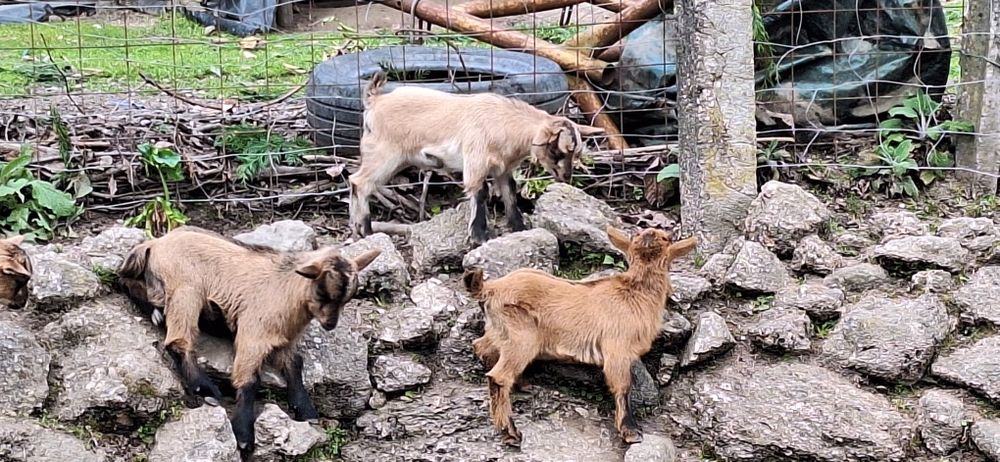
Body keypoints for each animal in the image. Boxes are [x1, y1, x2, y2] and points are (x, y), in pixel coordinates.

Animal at [117, 225, 380, 459]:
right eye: (322, 292)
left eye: (348, 297)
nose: (330, 324)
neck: (286, 290)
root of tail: (154, 244)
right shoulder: (253, 334)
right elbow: (250, 379)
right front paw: (244, 435)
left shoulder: (287, 341)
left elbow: (295, 365)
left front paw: (305, 408)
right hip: (186, 290)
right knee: (177, 340)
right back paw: (206, 388)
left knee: (128, 282)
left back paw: (156, 312)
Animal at [349, 71, 605, 245]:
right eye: (557, 150)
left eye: (576, 152)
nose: (565, 176)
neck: (503, 123)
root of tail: (374, 100)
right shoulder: (475, 160)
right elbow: (480, 192)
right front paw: (480, 236)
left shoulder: (502, 169)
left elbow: (510, 192)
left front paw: (519, 228)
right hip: (384, 154)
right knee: (360, 182)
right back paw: (367, 230)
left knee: (357, 182)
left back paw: (358, 229)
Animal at [463, 226, 696, 446]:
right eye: (639, 235)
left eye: (664, 238)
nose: (649, 234)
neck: (636, 293)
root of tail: (491, 288)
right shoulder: (617, 349)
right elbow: (623, 387)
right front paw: (630, 431)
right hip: (522, 337)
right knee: (498, 376)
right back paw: (510, 432)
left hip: (500, 331)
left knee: (481, 347)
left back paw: (522, 384)